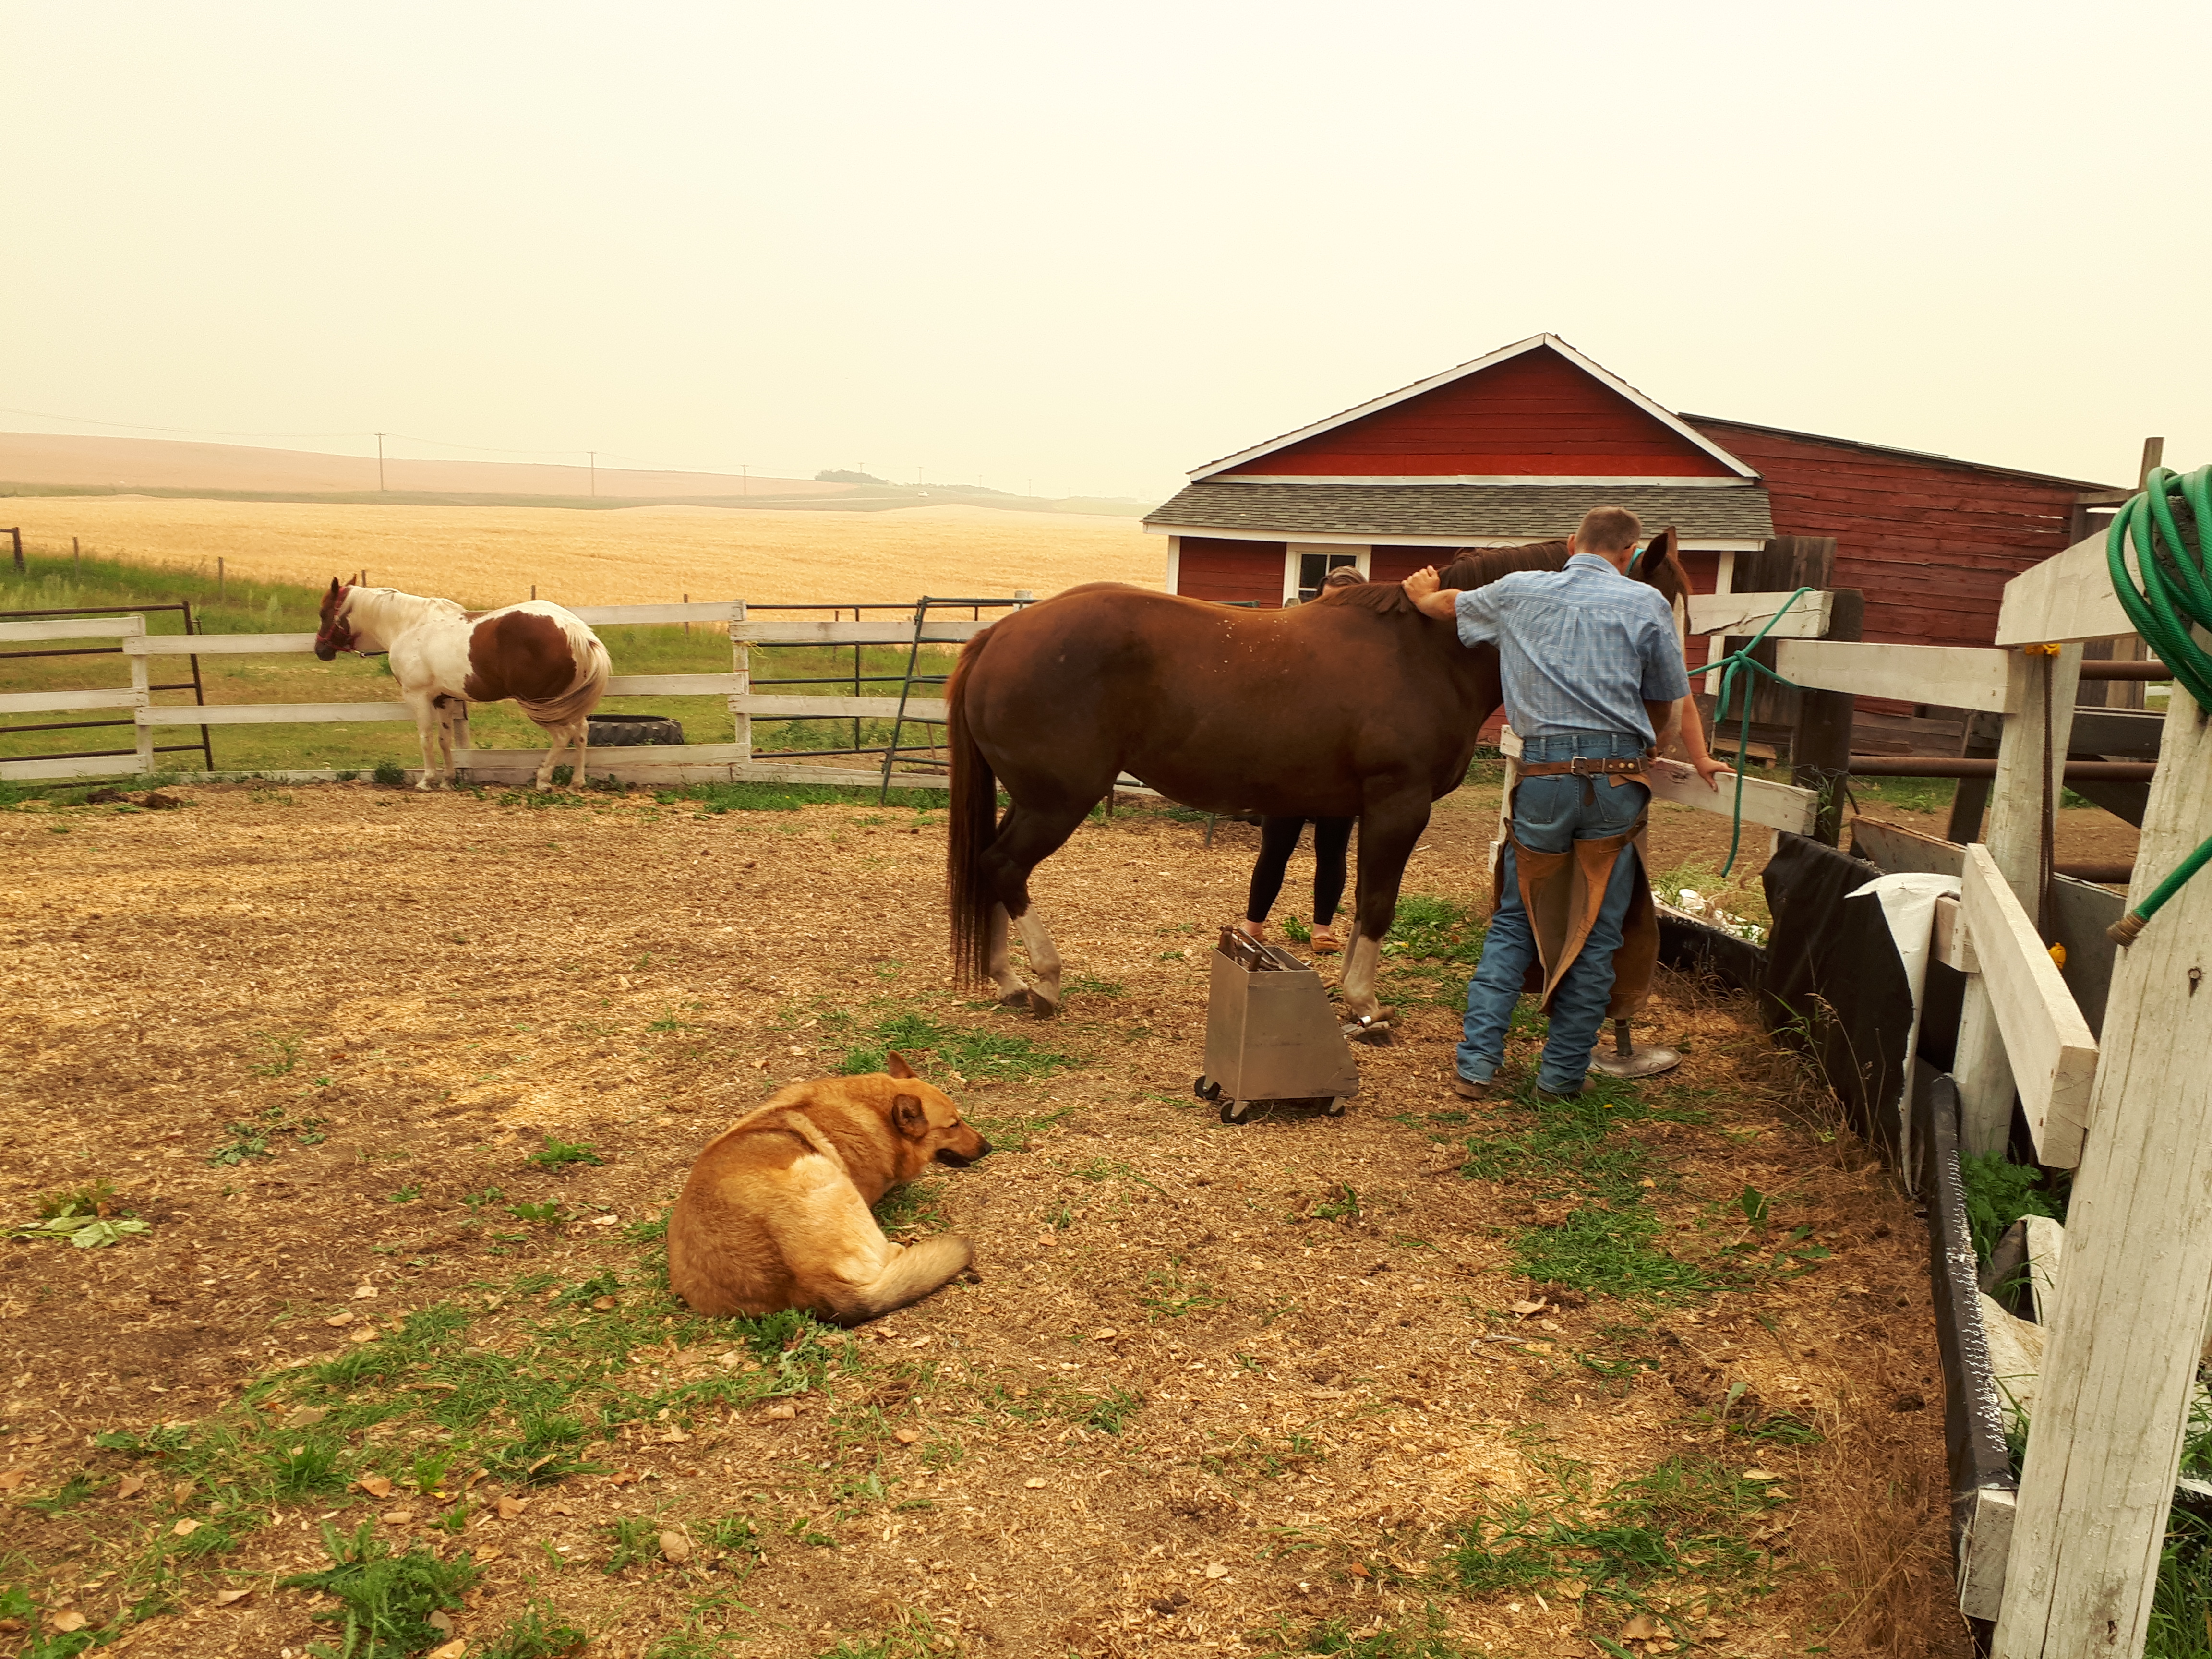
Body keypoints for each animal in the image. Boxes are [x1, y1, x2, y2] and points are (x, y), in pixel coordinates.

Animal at [316, 584, 610, 792]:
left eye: (324, 613)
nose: (320, 650)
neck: (410, 626)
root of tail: (577, 631)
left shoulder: (418, 697)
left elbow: (425, 738)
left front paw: (427, 781)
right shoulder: (443, 699)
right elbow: (445, 740)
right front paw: (448, 780)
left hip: (540, 704)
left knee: (563, 736)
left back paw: (544, 780)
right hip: (565, 703)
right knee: (582, 733)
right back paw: (576, 783)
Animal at [942, 540, 1681, 1022]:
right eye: (1660, 604)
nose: (1660, 726)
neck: (1429, 648)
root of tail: (1000, 635)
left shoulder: (1366, 812)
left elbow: (1360, 900)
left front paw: (1348, 992)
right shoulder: (1400, 805)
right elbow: (1379, 904)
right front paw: (1365, 1007)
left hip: (1033, 799)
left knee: (990, 866)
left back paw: (1008, 981)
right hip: (1057, 801)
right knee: (1006, 868)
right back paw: (1044, 982)